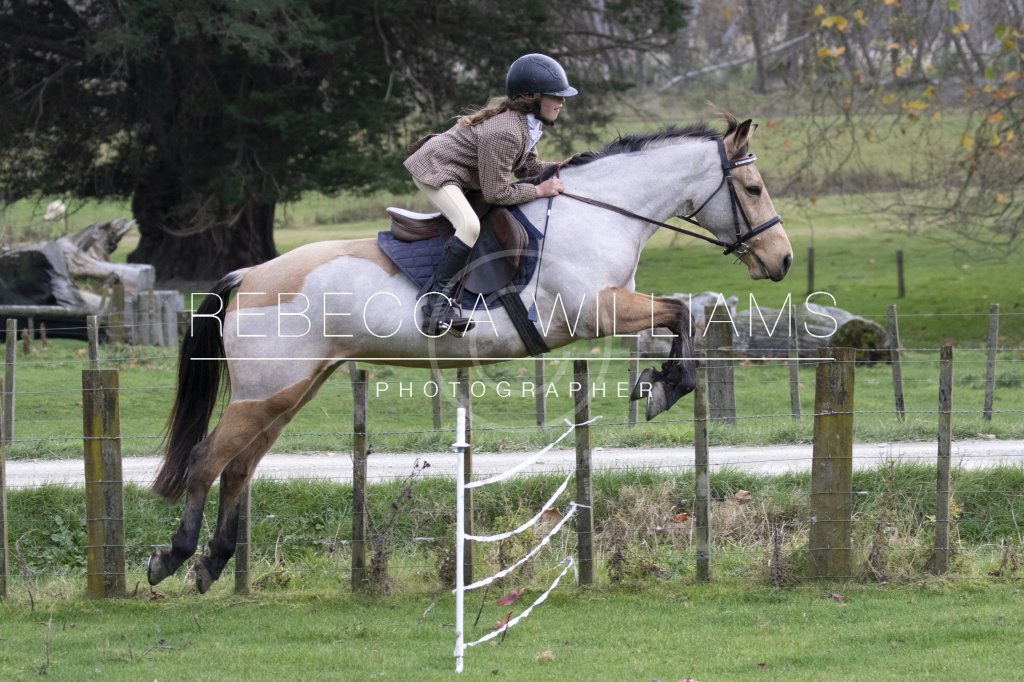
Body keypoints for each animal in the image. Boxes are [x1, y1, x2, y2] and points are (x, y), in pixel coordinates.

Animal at [147, 111, 792, 592]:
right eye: (754, 189)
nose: (782, 259)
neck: (596, 213)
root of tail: (249, 275)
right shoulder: (596, 309)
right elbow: (681, 311)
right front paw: (664, 386)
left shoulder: (612, 307)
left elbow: (682, 314)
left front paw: (660, 382)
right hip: (268, 390)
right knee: (206, 460)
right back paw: (174, 557)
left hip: (289, 391)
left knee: (239, 468)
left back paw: (212, 562)